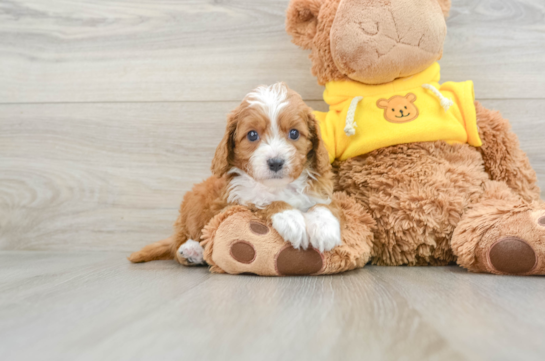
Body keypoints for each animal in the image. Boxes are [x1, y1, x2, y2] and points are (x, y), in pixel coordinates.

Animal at [129, 83, 340, 266]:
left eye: (294, 133)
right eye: (252, 135)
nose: (275, 162)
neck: (277, 186)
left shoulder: (317, 191)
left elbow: (321, 205)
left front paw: (325, 227)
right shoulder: (235, 202)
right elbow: (263, 202)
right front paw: (290, 218)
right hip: (193, 207)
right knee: (177, 247)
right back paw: (192, 251)